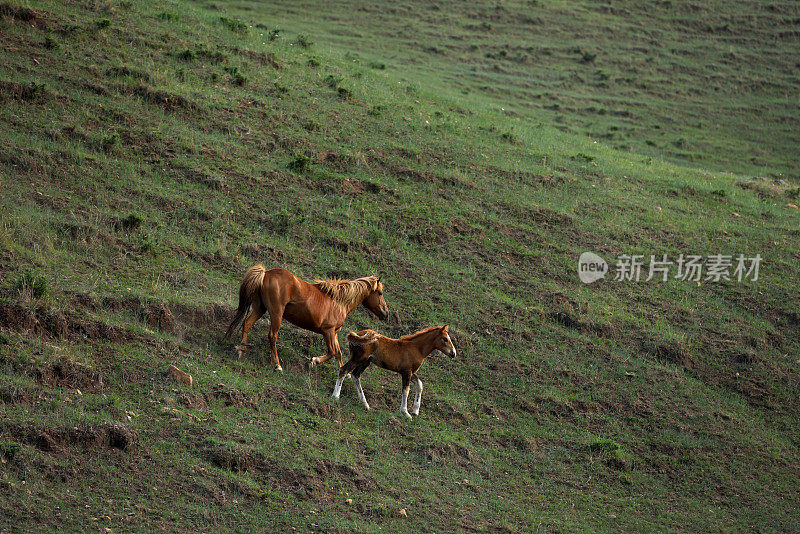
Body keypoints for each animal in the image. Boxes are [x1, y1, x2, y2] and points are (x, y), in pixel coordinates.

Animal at [223, 266, 390, 372]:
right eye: (380, 293)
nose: (386, 314)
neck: (339, 301)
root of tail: (265, 274)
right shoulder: (328, 331)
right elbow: (332, 352)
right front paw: (312, 361)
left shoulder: (334, 333)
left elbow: (338, 353)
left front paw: (345, 373)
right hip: (276, 312)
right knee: (272, 336)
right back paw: (277, 365)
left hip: (260, 308)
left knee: (246, 324)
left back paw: (241, 350)